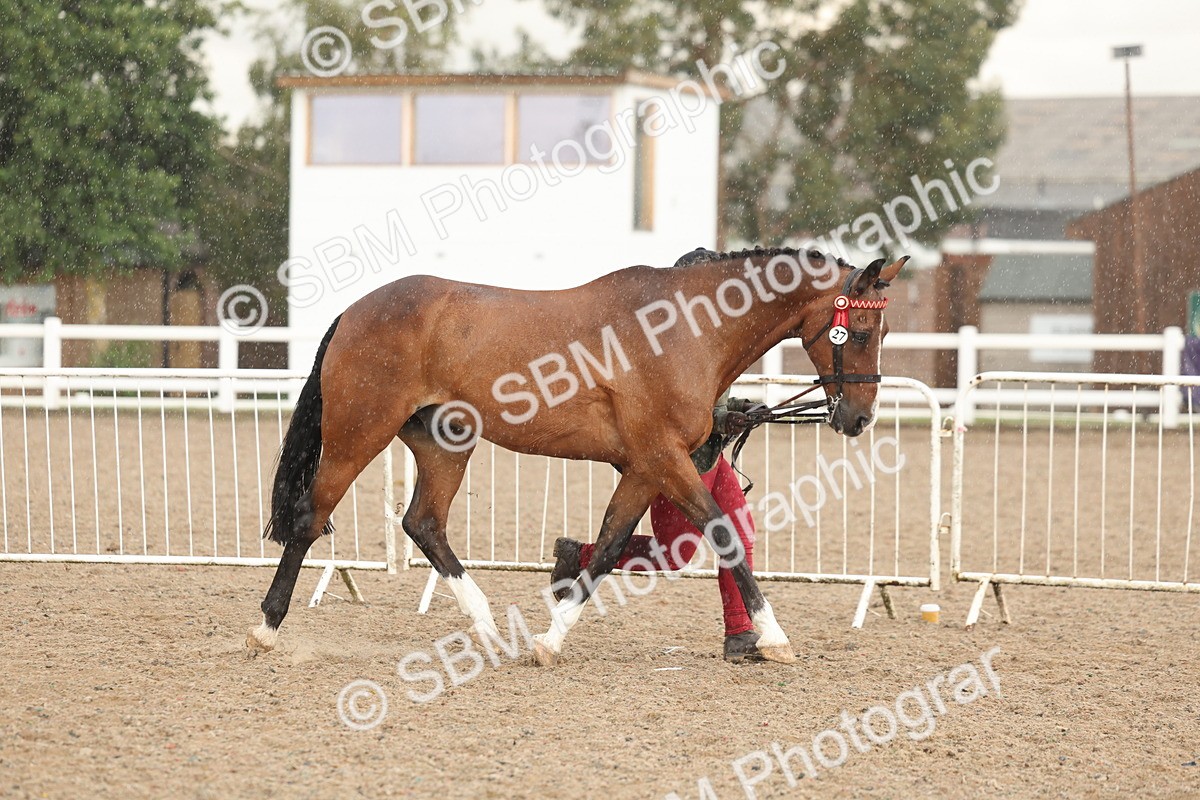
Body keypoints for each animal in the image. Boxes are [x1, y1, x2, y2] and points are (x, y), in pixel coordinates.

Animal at [246, 246, 907, 665]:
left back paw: (491, 632)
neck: (685, 331)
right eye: (861, 332)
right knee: (310, 517)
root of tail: (356, 310)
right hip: (359, 434)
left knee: (424, 523)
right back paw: (265, 628)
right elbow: (723, 535)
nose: (858, 418)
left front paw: (550, 640)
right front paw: (776, 638)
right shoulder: (664, 459)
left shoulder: (644, 467)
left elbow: (611, 546)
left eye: (883, 331)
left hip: (444, 443)